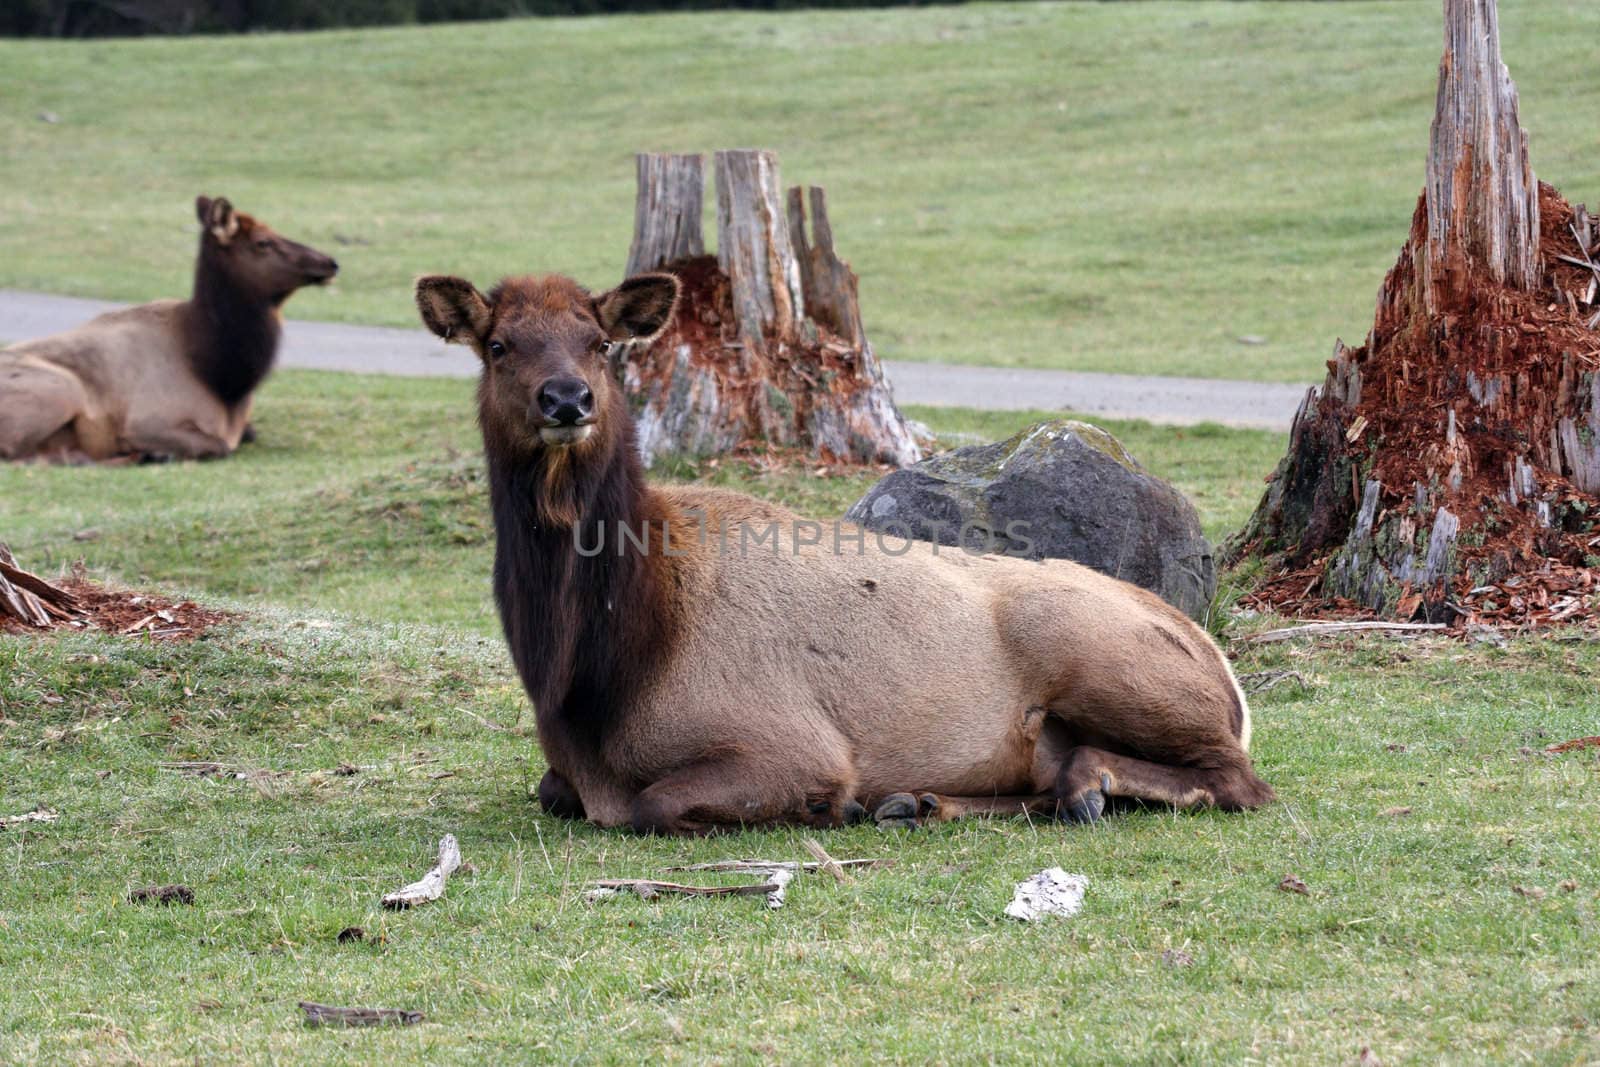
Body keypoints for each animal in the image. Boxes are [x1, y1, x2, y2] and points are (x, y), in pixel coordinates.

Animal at [0, 197, 337, 463]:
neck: (222, 377)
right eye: (263, 242)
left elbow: (250, 433)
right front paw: (152, 451)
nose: (330, 262)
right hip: (60, 389)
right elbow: (218, 446)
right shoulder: (146, 421)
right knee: (18, 453)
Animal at [412, 267, 1273, 831]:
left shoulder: (793, 743)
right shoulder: (565, 769)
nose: (566, 398)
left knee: (1240, 780)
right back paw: (924, 799)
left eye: (599, 342)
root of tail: (1226, 674)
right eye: (498, 344)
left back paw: (1084, 782)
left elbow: (653, 804)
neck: (592, 673)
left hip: (1101, 656)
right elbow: (550, 789)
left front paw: (834, 805)